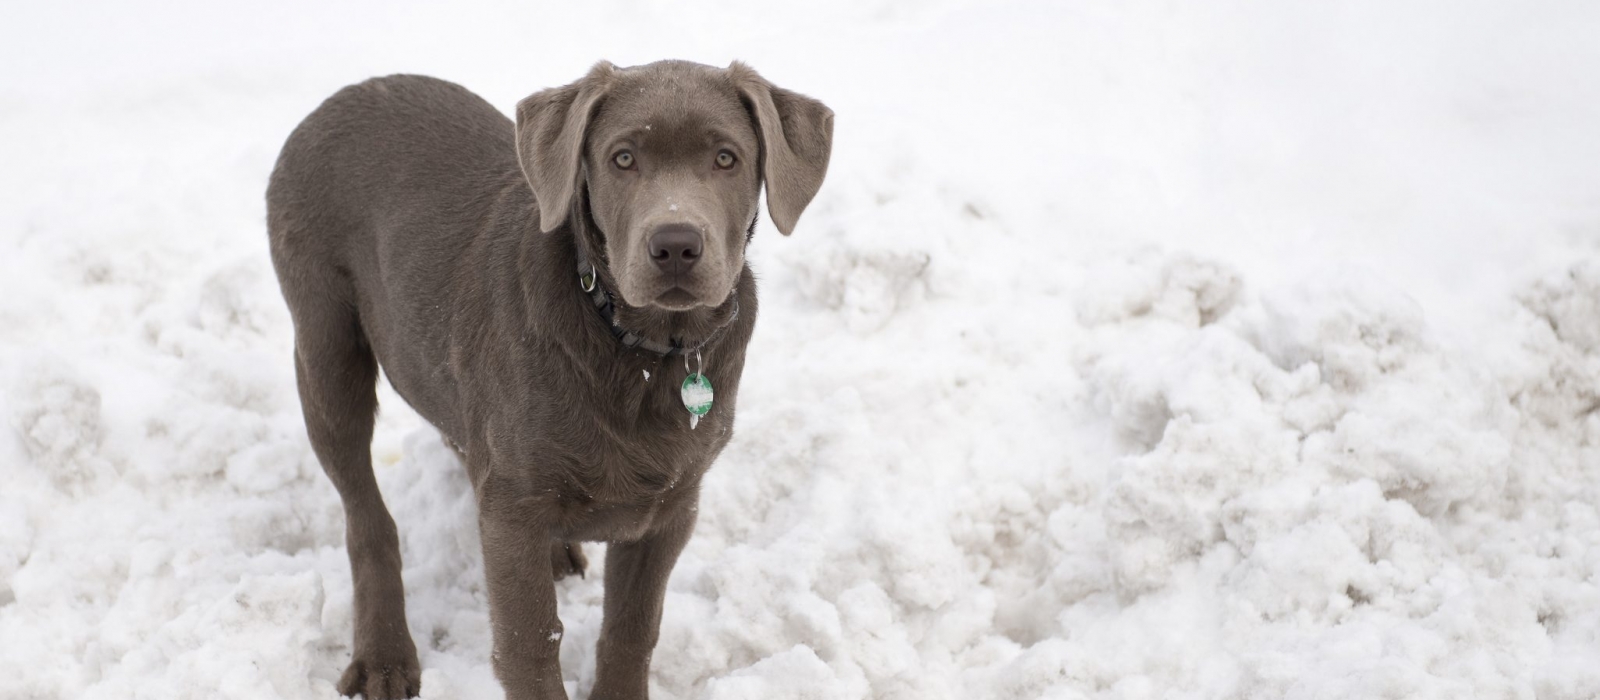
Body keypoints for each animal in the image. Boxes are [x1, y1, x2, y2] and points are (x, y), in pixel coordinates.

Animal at [264, 61, 838, 700]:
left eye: (725, 158)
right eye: (622, 158)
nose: (675, 245)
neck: (643, 349)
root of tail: (346, 94)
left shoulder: (672, 506)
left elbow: (633, 628)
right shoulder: (514, 512)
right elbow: (530, 642)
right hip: (326, 349)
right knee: (366, 515)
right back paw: (383, 657)